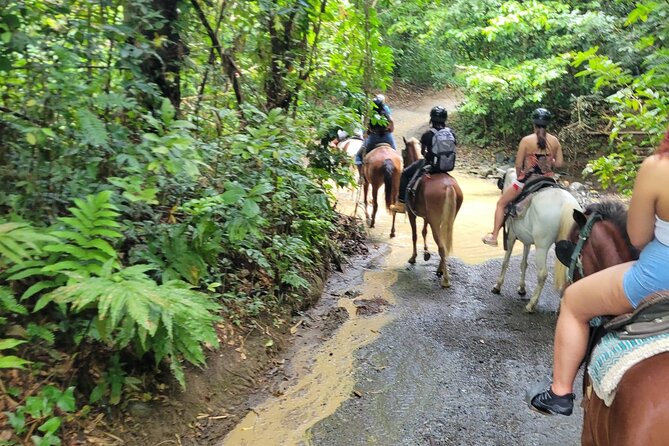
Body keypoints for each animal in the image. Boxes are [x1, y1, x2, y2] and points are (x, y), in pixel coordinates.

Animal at [400, 138, 462, 288]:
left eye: (404, 154)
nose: (404, 164)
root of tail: (448, 186)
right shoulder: (427, 216)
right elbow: (423, 231)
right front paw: (426, 253)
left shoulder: (412, 214)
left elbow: (415, 235)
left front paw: (413, 257)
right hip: (446, 219)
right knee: (444, 243)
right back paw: (441, 270)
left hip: (435, 222)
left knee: (441, 246)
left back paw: (445, 280)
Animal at [490, 167, 580, 314]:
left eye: (501, 184)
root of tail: (567, 203)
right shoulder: (526, 239)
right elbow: (524, 263)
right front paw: (521, 288)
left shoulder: (511, 235)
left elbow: (506, 261)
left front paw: (498, 286)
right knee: (569, 275)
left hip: (541, 246)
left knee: (542, 274)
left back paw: (531, 305)